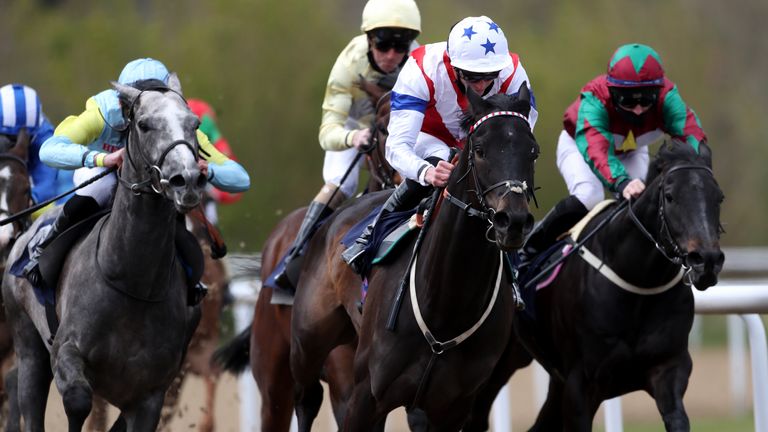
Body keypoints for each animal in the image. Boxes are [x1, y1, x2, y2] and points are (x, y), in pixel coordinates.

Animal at [2, 76, 207, 430]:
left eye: (194, 124)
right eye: (144, 124)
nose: (188, 180)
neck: (132, 283)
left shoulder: (150, 394)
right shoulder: (65, 354)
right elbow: (77, 401)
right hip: (28, 344)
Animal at [292, 83, 536, 428]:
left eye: (533, 151)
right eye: (480, 150)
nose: (512, 221)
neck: (447, 306)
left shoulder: (452, 407)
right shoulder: (366, 394)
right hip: (307, 344)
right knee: (307, 398)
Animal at [464, 140, 724, 430]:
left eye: (719, 197)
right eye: (669, 196)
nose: (707, 260)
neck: (639, 283)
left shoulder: (669, 370)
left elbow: (677, 417)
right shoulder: (581, 385)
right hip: (497, 365)